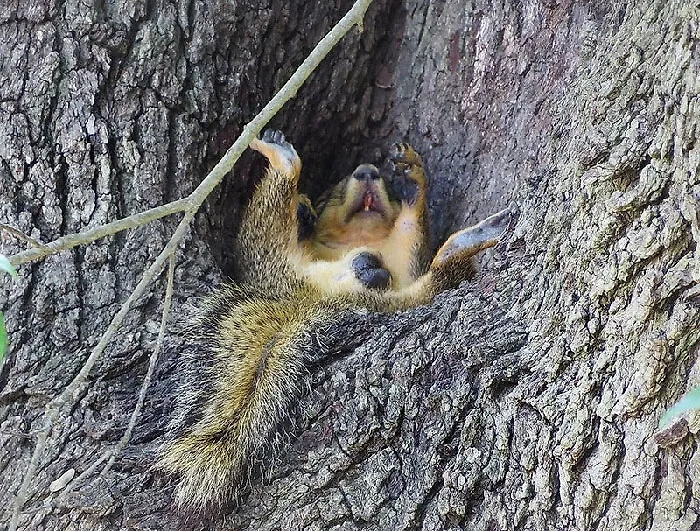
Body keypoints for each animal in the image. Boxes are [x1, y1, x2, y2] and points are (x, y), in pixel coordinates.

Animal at [157, 130, 508, 520]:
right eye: (329, 194)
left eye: (383, 184)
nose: (368, 171)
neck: (360, 238)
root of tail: (313, 298)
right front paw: (305, 211)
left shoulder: (405, 264)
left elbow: (410, 241)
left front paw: (411, 184)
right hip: (270, 266)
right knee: (266, 233)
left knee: (423, 285)